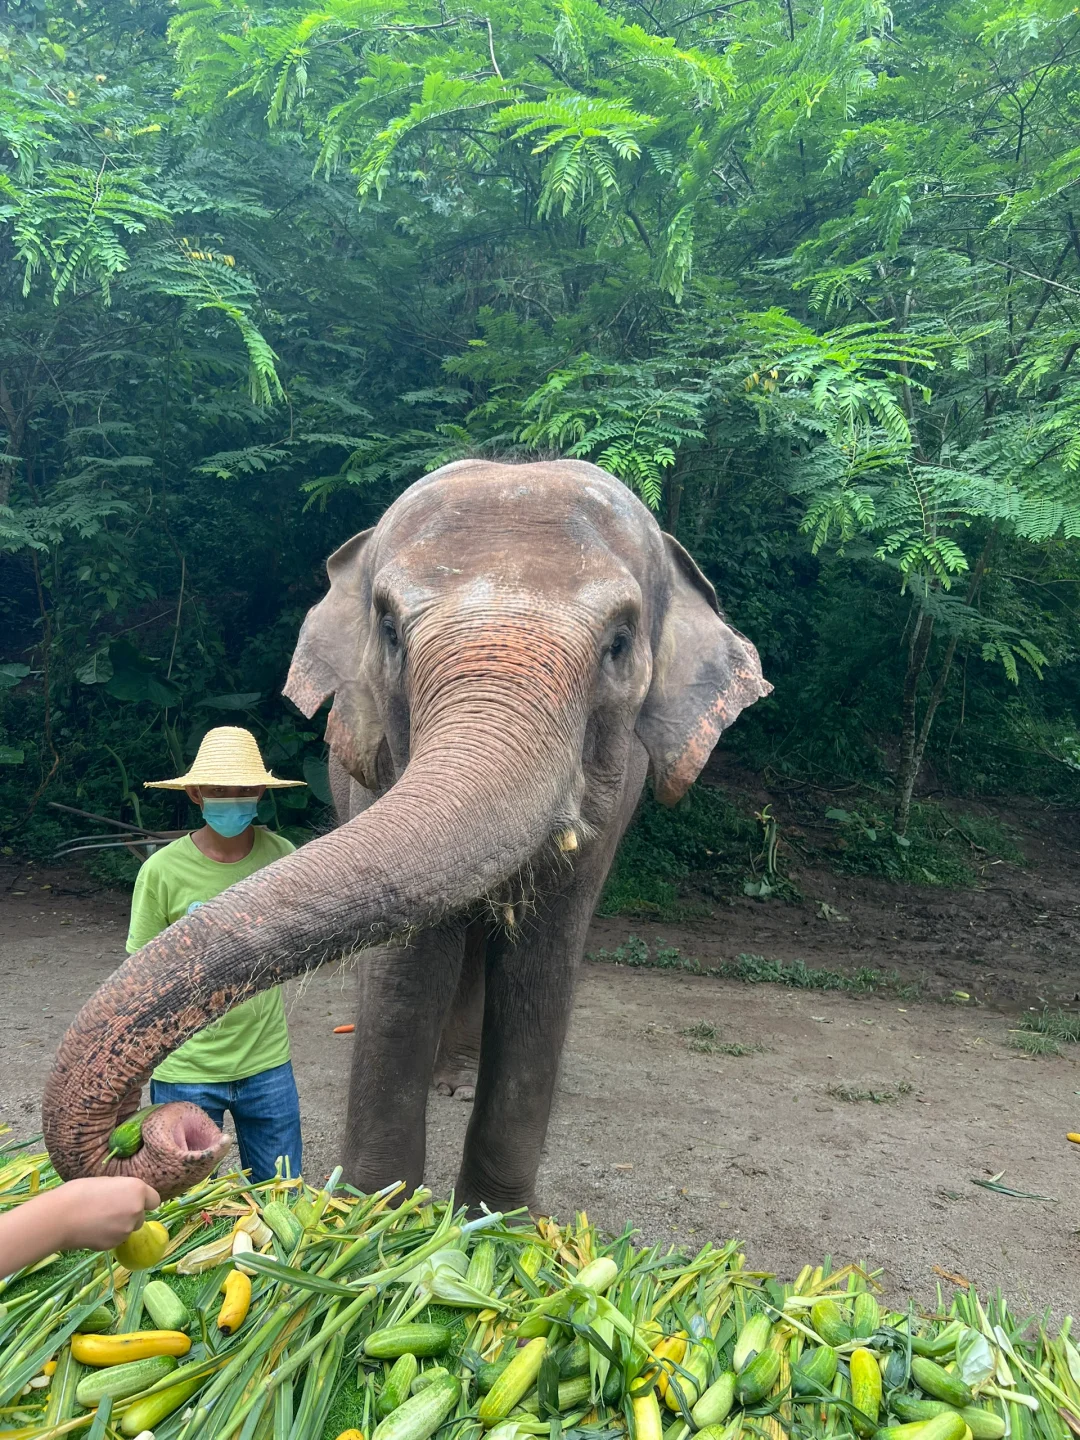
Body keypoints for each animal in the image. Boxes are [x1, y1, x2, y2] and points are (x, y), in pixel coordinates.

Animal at [41, 458, 771, 1209]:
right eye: (390, 629)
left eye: (619, 644)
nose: (154, 1133)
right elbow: (408, 966)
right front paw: (371, 1214)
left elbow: (542, 964)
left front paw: (499, 1223)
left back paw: (458, 1082)